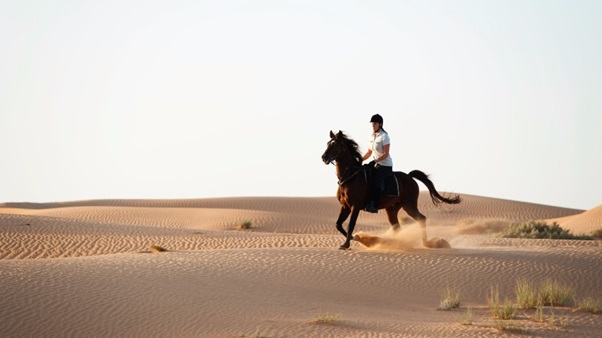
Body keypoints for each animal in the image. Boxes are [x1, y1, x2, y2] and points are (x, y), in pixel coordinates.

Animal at [322, 131, 462, 250]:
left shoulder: (355, 206)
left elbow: (351, 224)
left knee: (421, 218)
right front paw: (354, 238)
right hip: (392, 209)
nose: (324, 157)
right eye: (328, 143)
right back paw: (397, 243)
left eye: (336, 145)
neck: (350, 177)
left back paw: (426, 243)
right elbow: (338, 224)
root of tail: (410, 177)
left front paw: (347, 244)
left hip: (409, 205)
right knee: (397, 227)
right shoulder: (345, 206)